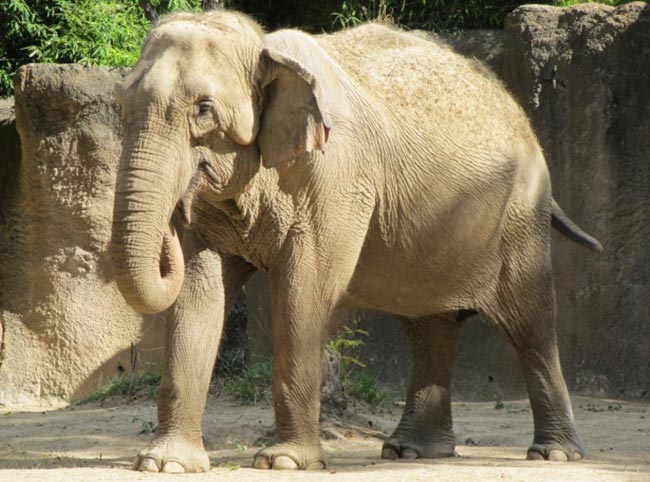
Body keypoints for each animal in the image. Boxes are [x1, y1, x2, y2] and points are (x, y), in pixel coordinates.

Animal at [110, 9, 602, 473]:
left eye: (204, 109)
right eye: (121, 104)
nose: (176, 215)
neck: (266, 47)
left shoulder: (337, 178)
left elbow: (303, 287)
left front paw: (285, 463)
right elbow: (199, 291)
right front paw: (164, 464)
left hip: (520, 215)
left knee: (530, 322)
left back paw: (554, 454)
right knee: (430, 324)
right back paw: (411, 452)